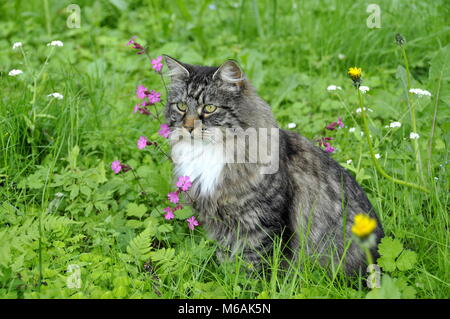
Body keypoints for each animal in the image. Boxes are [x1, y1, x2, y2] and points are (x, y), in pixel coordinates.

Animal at [162, 55, 384, 276]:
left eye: (209, 108)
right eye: (181, 106)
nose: (188, 127)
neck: (211, 152)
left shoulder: (262, 223)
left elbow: (253, 264)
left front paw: (243, 281)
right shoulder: (221, 224)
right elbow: (226, 256)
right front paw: (226, 276)